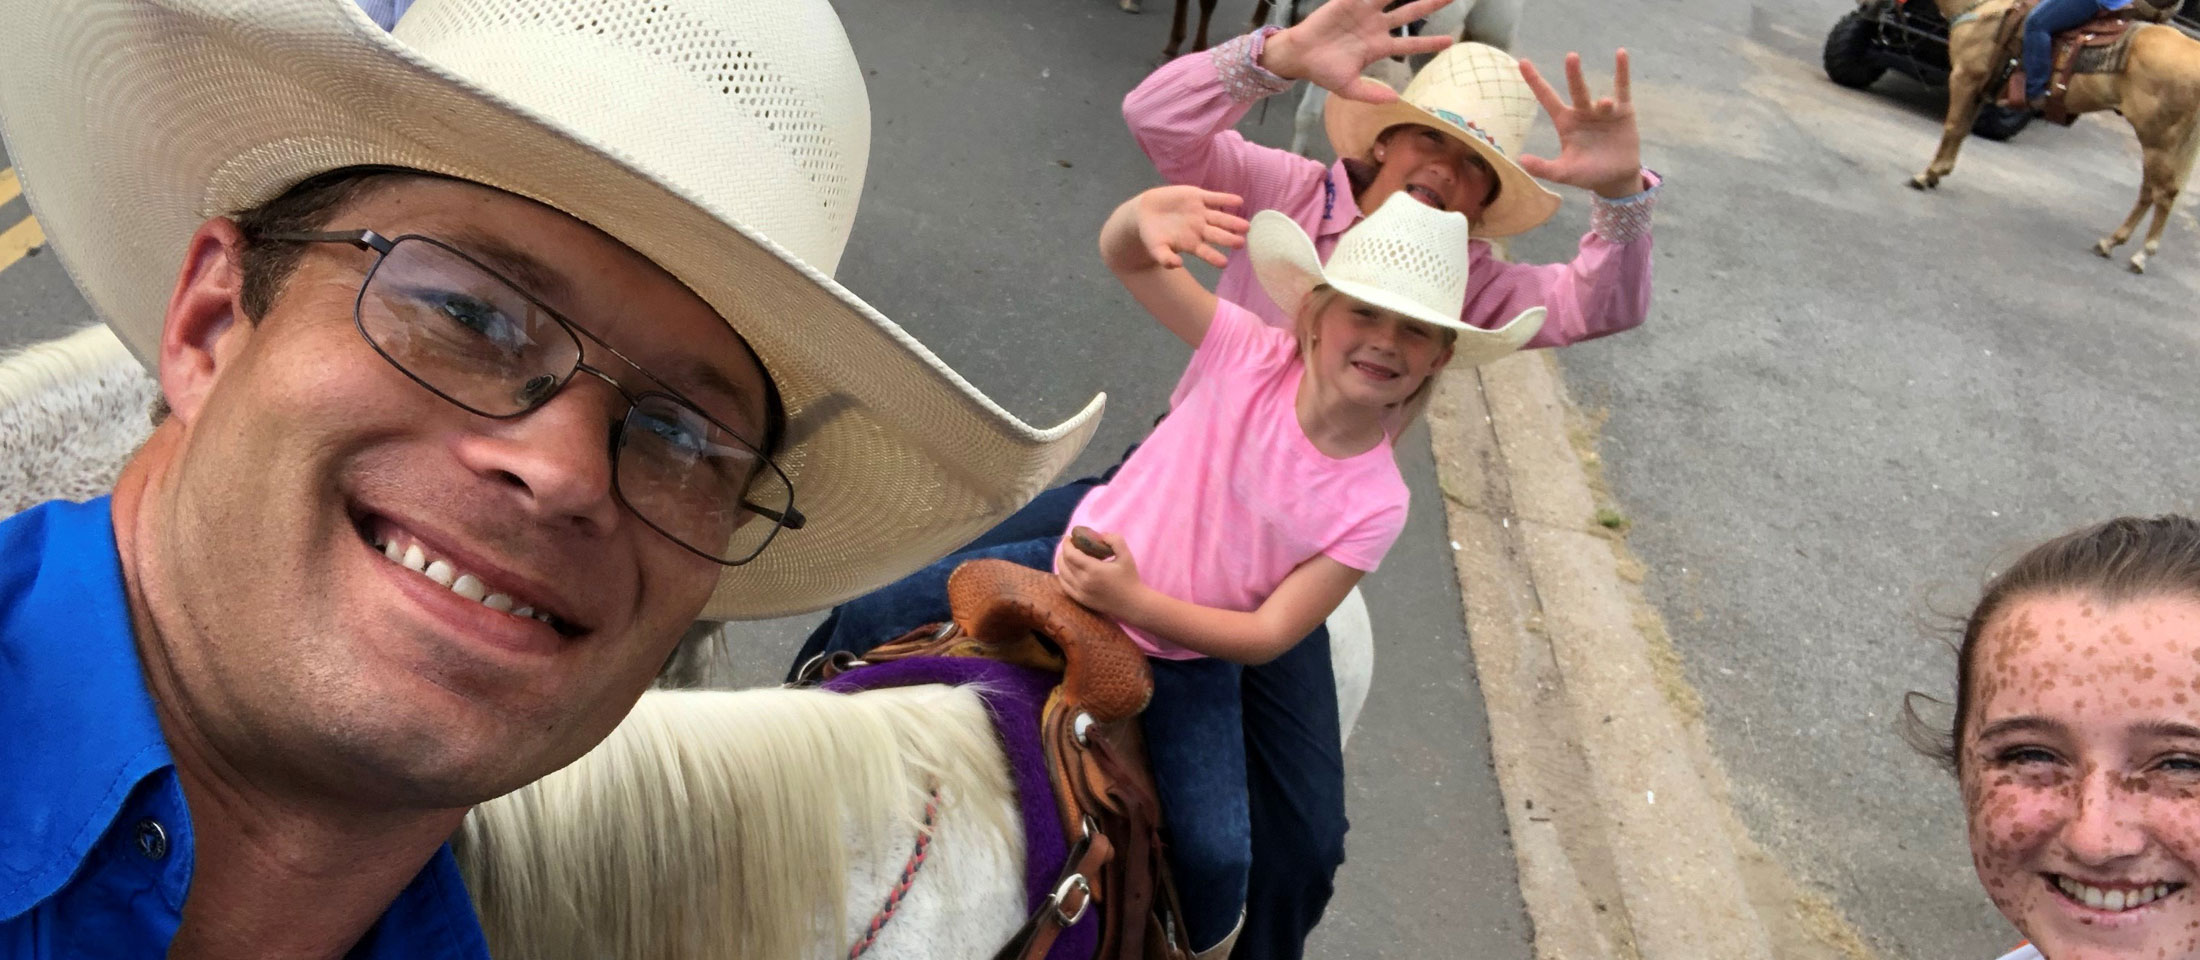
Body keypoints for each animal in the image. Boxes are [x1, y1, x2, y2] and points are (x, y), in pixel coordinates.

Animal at [1909, 0, 2200, 274]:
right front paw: (1939, 173)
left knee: (2164, 193)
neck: (1985, 10)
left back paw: (2141, 255)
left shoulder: (1964, 78)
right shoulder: (1979, 91)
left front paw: (1926, 175)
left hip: (2158, 142)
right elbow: (1961, 131)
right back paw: (2110, 242)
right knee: (2149, 191)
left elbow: (1952, 127)